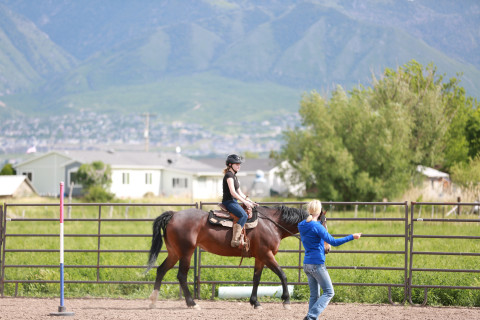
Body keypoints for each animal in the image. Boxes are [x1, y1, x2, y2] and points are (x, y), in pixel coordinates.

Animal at [145, 205, 312, 310]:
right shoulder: (267, 255)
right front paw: (286, 301)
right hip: (186, 253)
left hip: (174, 253)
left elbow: (256, 279)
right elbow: (282, 275)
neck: (272, 224)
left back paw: (153, 302)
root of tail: (173, 214)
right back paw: (192, 303)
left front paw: (255, 302)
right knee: (181, 276)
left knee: (161, 270)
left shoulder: (260, 258)